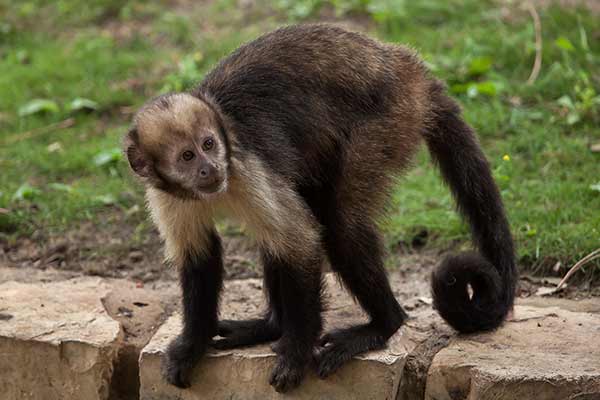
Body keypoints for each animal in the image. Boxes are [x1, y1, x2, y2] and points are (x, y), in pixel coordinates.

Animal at [122, 24, 516, 394]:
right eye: (187, 157)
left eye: (208, 144)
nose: (210, 168)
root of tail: (404, 64)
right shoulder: (167, 195)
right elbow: (199, 257)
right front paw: (193, 344)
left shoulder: (245, 166)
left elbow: (302, 242)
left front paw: (296, 353)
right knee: (287, 224)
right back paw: (270, 326)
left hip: (390, 119)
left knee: (339, 226)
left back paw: (383, 324)